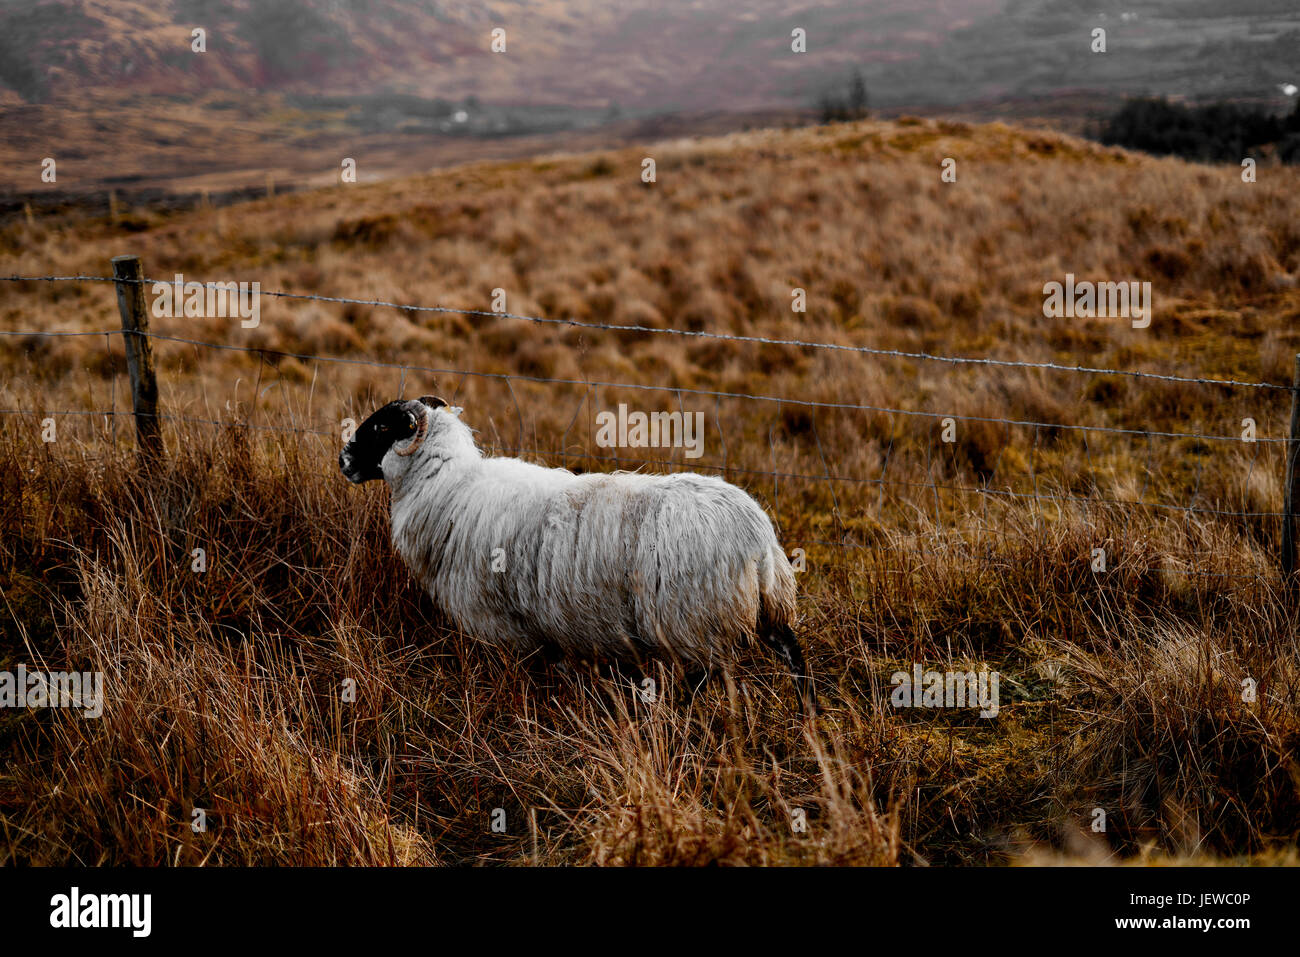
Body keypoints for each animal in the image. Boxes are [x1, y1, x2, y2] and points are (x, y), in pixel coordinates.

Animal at [339, 395, 812, 711]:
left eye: (382, 428)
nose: (343, 459)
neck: (446, 485)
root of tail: (757, 536)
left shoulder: (496, 625)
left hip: (692, 621)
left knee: (701, 678)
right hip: (767, 609)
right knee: (792, 650)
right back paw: (807, 713)